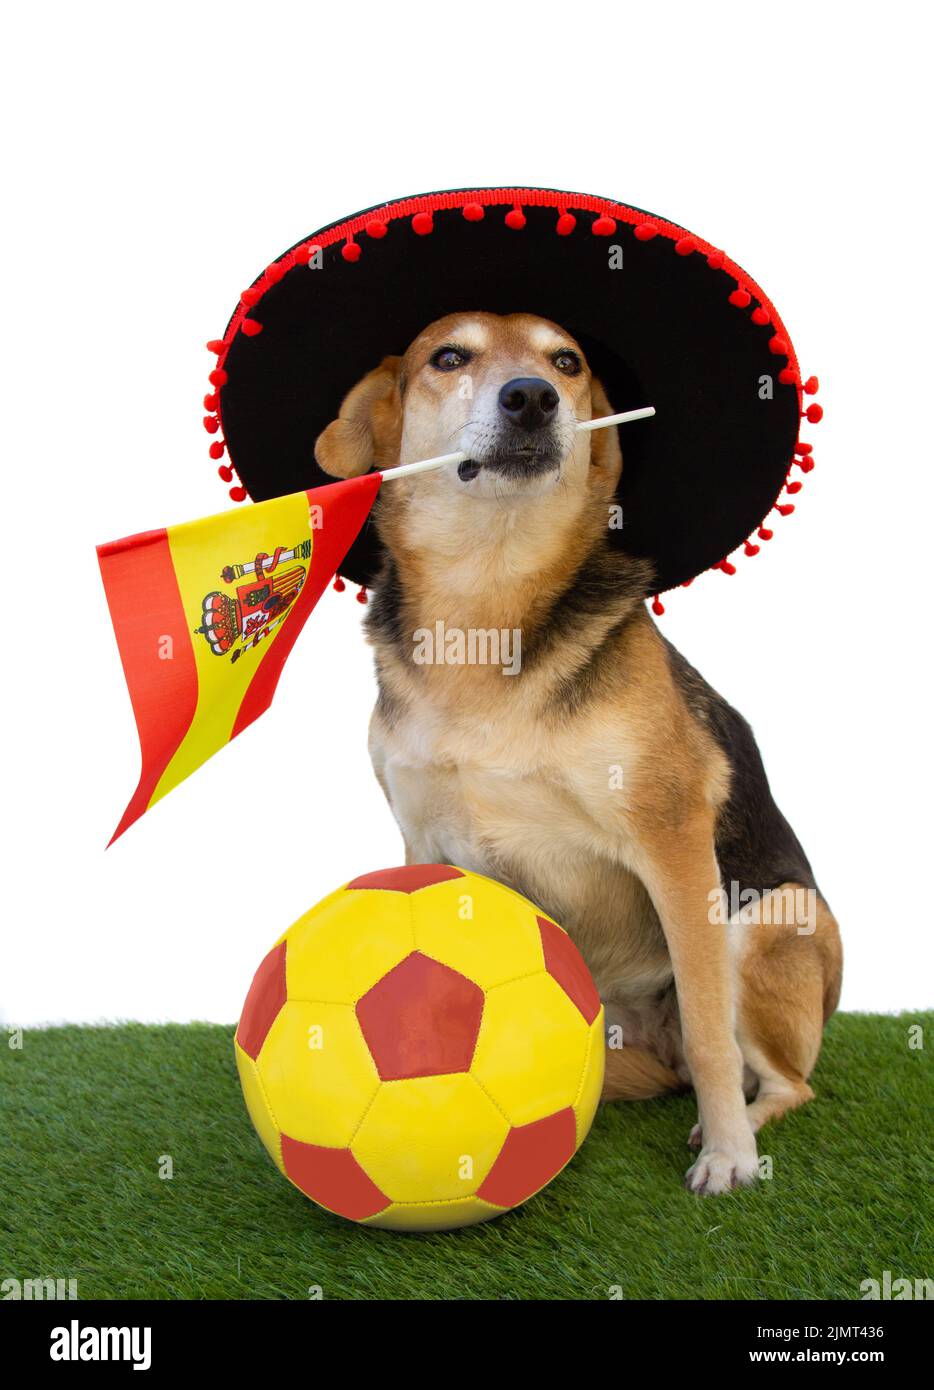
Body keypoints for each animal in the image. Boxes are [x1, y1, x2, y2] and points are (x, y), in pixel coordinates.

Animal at [316, 312, 845, 1195]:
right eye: (448, 357)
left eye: (566, 362)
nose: (532, 397)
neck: (485, 601)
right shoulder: (428, 845)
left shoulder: (674, 846)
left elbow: (709, 1026)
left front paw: (730, 1157)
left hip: (769, 917)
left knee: (778, 1078)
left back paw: (733, 1125)